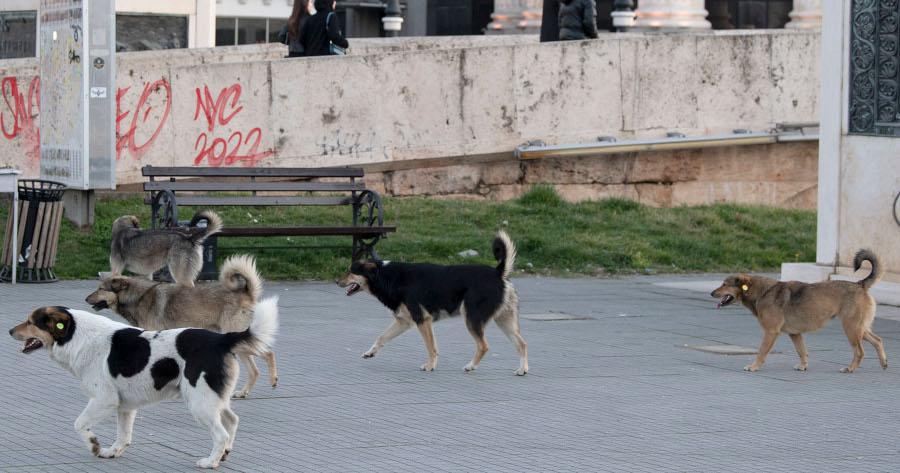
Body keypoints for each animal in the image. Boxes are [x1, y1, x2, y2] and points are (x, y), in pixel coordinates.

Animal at [7, 296, 278, 466]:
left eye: (30, 322)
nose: (9, 331)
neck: (76, 336)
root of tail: (221, 339)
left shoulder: (103, 400)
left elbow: (79, 424)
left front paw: (94, 445)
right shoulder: (125, 406)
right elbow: (123, 436)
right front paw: (112, 452)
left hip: (200, 404)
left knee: (220, 434)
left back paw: (210, 462)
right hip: (212, 400)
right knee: (232, 421)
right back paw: (223, 455)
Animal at [88, 254, 280, 398]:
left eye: (101, 288)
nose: (86, 299)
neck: (138, 297)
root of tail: (246, 293)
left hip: (236, 336)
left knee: (269, 354)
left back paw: (273, 380)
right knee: (255, 370)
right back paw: (242, 392)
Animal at [338, 230, 528, 374]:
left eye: (350, 271)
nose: (337, 282)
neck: (387, 276)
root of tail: (498, 272)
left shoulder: (423, 319)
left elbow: (431, 347)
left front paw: (430, 366)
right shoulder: (404, 321)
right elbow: (381, 337)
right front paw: (370, 353)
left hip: (472, 318)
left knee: (484, 346)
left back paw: (470, 366)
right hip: (504, 320)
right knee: (521, 343)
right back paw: (522, 370)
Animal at [712, 249, 888, 374]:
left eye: (724, 283)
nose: (712, 293)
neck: (761, 292)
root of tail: (860, 284)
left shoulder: (771, 331)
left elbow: (761, 352)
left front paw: (754, 366)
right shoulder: (795, 334)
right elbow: (802, 351)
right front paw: (803, 366)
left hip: (851, 328)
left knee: (860, 351)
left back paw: (850, 368)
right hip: (860, 328)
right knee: (878, 340)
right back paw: (883, 363)